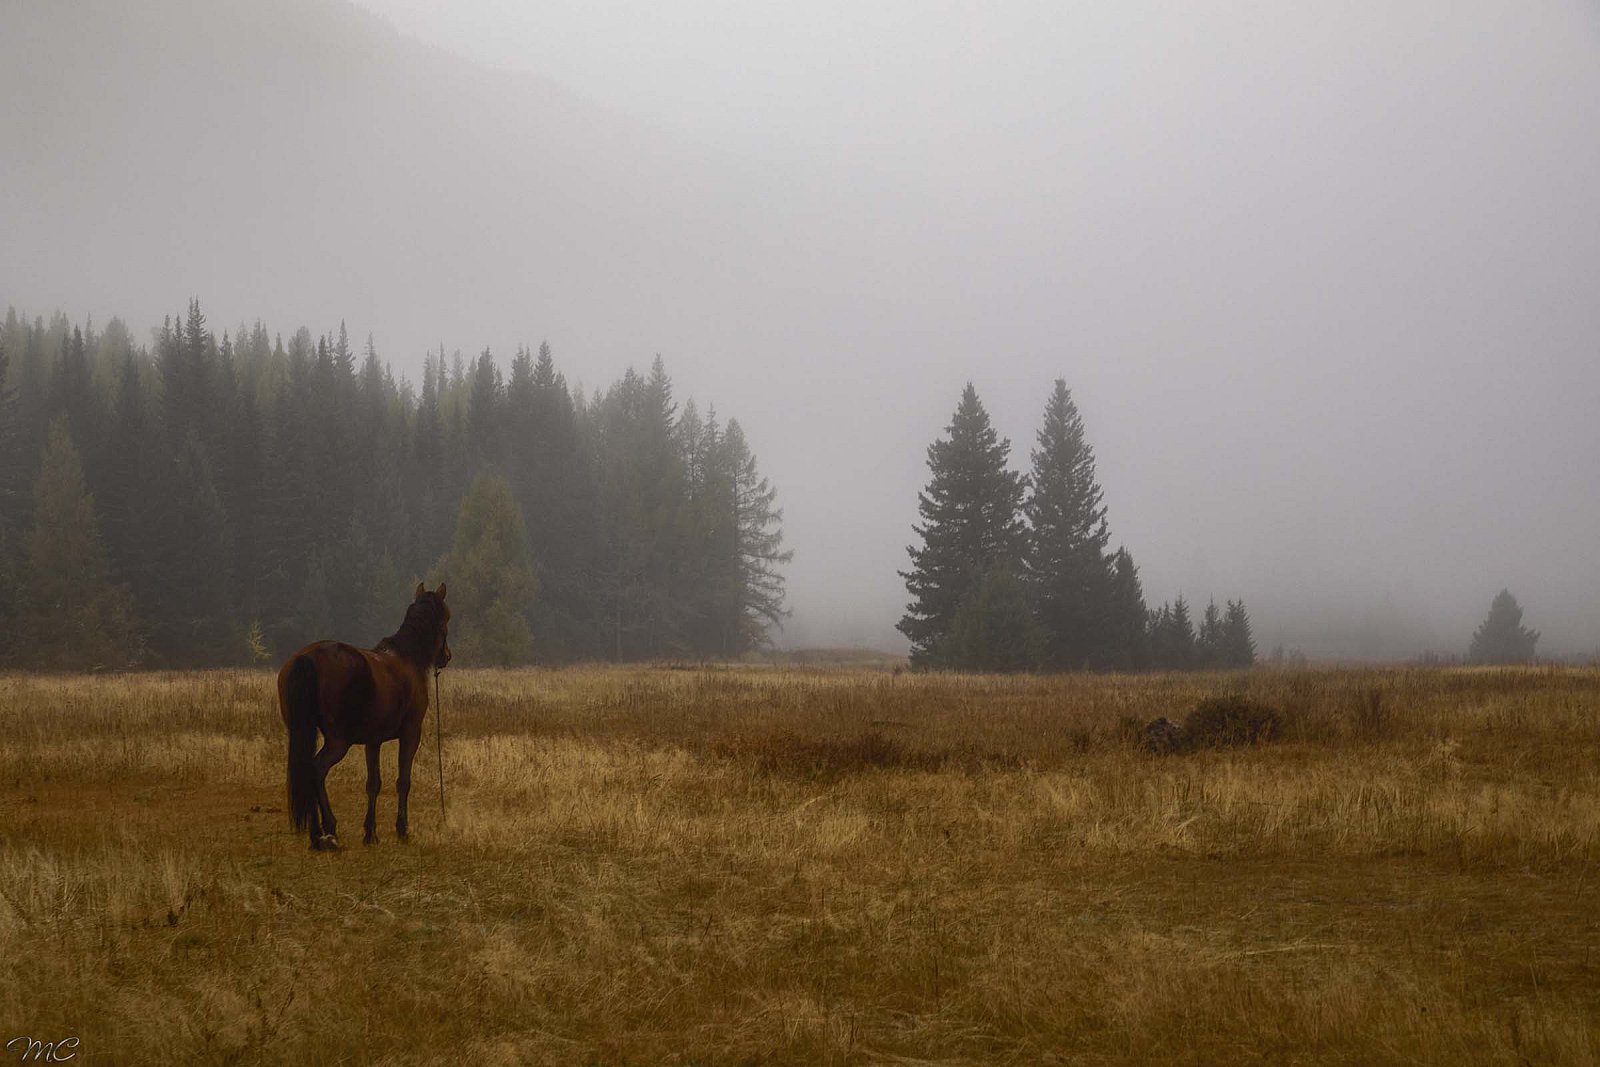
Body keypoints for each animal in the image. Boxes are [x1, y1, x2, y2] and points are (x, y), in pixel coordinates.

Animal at [280, 585, 451, 851]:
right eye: (446, 618)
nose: (446, 656)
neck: (407, 658)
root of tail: (307, 657)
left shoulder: (373, 741)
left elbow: (373, 784)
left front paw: (370, 832)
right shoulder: (411, 734)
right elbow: (403, 781)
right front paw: (402, 830)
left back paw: (317, 834)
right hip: (338, 742)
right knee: (316, 769)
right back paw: (326, 830)